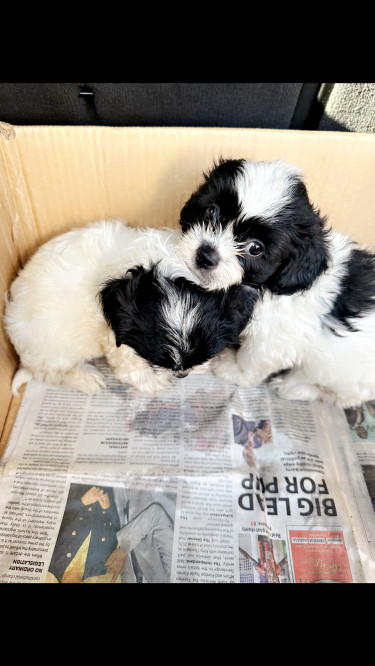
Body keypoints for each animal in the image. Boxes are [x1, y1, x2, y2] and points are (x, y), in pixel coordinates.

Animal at [4, 218, 258, 394]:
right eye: (158, 360)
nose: (182, 374)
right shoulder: (119, 337)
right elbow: (132, 368)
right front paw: (154, 382)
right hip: (56, 352)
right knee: (50, 374)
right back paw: (86, 378)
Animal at [178, 158, 375, 408]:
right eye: (211, 211)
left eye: (255, 248)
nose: (205, 255)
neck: (268, 286)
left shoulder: (272, 340)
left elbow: (252, 359)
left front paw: (232, 369)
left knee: (338, 395)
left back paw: (293, 387)